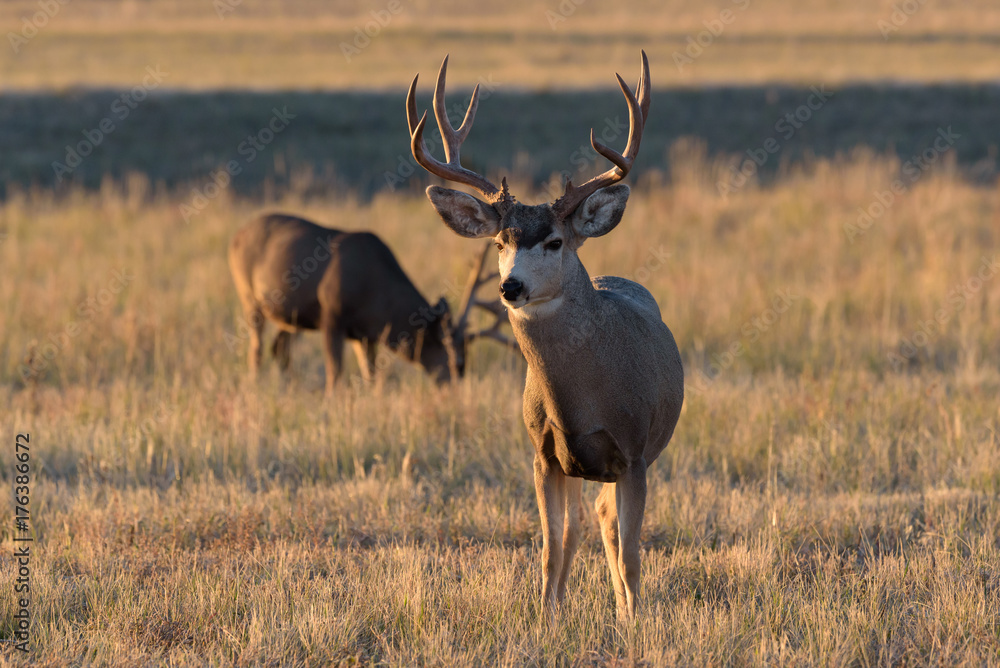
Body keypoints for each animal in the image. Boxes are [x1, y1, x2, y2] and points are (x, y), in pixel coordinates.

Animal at [228, 212, 514, 395]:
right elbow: (335, 374)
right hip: (248, 296)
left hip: (290, 315)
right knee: (257, 348)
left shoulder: (366, 334)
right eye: (458, 363)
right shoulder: (331, 316)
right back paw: (256, 384)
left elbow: (371, 375)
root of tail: (237, 234)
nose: (454, 391)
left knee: (280, 348)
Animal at [406, 52, 683, 622]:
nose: (510, 286)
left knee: (611, 526)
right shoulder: (544, 454)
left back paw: (624, 608)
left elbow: (631, 552)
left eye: (555, 241)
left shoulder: (634, 452)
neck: (583, 400)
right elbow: (552, 548)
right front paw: (545, 618)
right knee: (586, 523)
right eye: (499, 242)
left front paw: (634, 621)